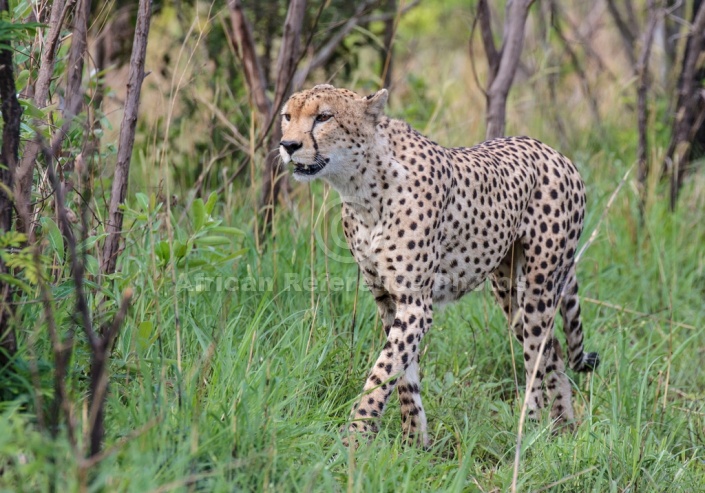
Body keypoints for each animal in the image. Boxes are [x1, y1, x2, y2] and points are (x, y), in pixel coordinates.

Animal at [278, 84, 596, 446]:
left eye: (323, 117)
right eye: (287, 116)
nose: (288, 145)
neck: (362, 187)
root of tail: (556, 153)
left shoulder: (415, 303)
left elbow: (382, 372)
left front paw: (355, 437)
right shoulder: (388, 300)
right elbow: (403, 374)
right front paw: (413, 441)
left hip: (538, 288)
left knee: (537, 358)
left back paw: (529, 430)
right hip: (509, 291)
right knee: (554, 351)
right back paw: (562, 429)